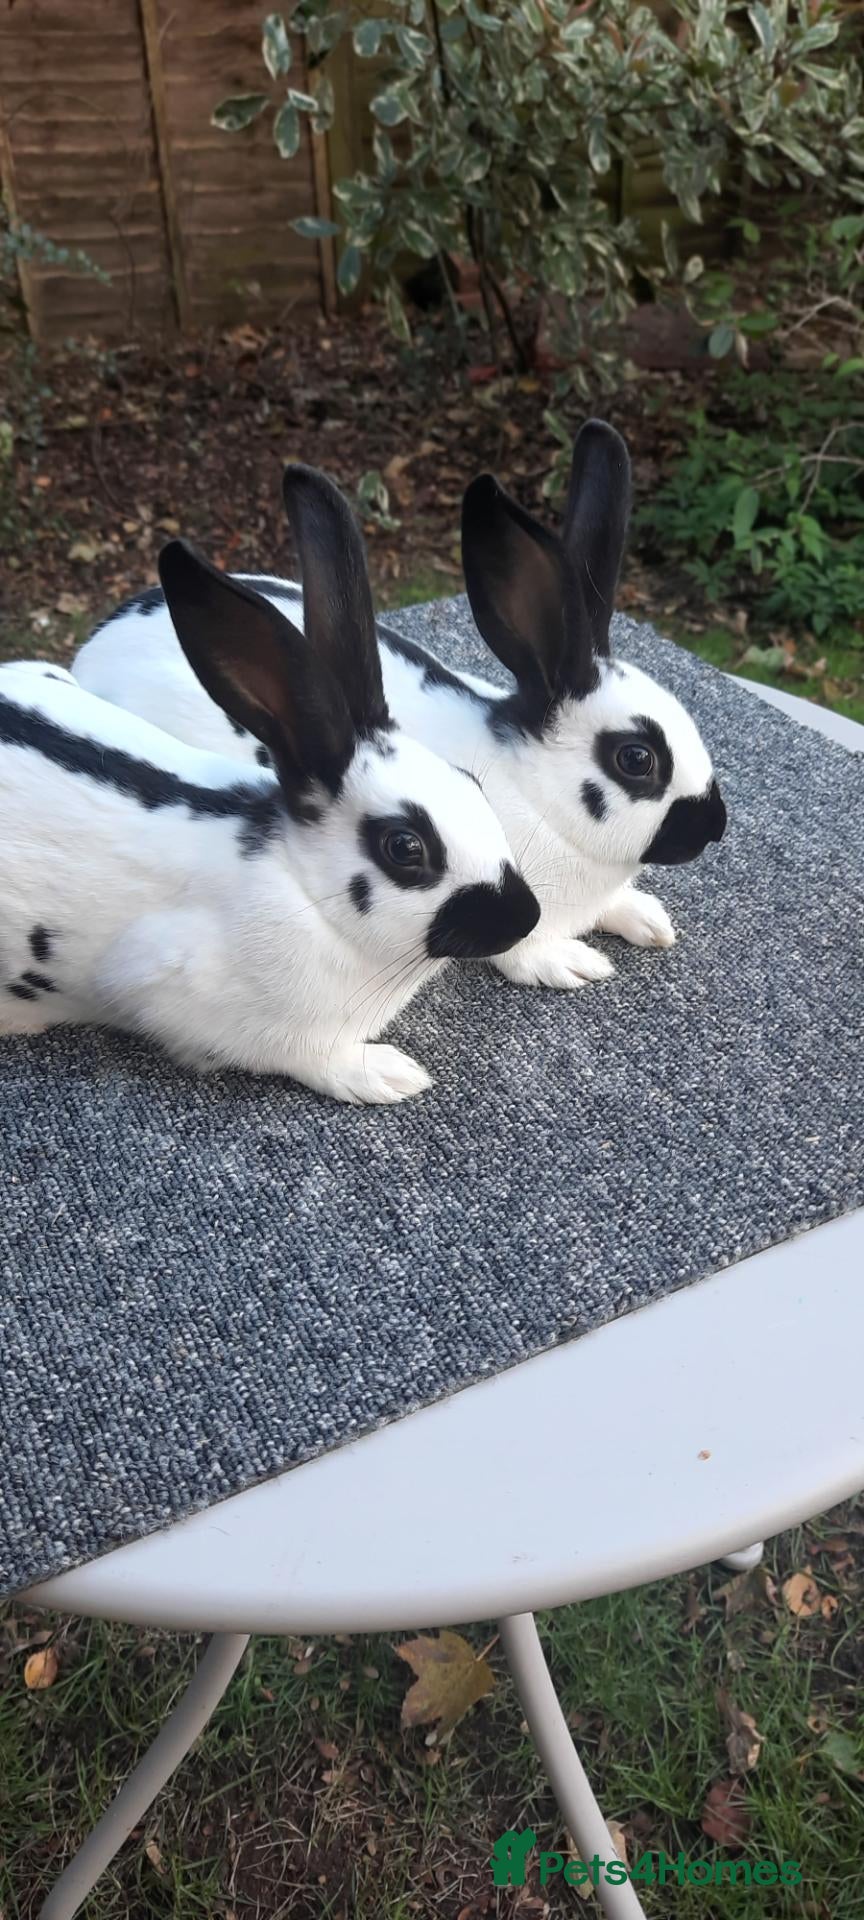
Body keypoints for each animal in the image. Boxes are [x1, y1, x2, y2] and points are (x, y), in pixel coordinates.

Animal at [0, 467, 539, 1103]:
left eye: (472, 782)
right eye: (404, 848)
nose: (525, 916)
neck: (306, 894)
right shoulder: (174, 992)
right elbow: (307, 1056)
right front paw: (387, 1075)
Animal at [74, 424, 726, 992]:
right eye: (636, 759)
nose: (716, 826)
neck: (538, 794)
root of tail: (93, 646)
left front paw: (649, 920)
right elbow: (522, 948)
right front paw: (571, 963)